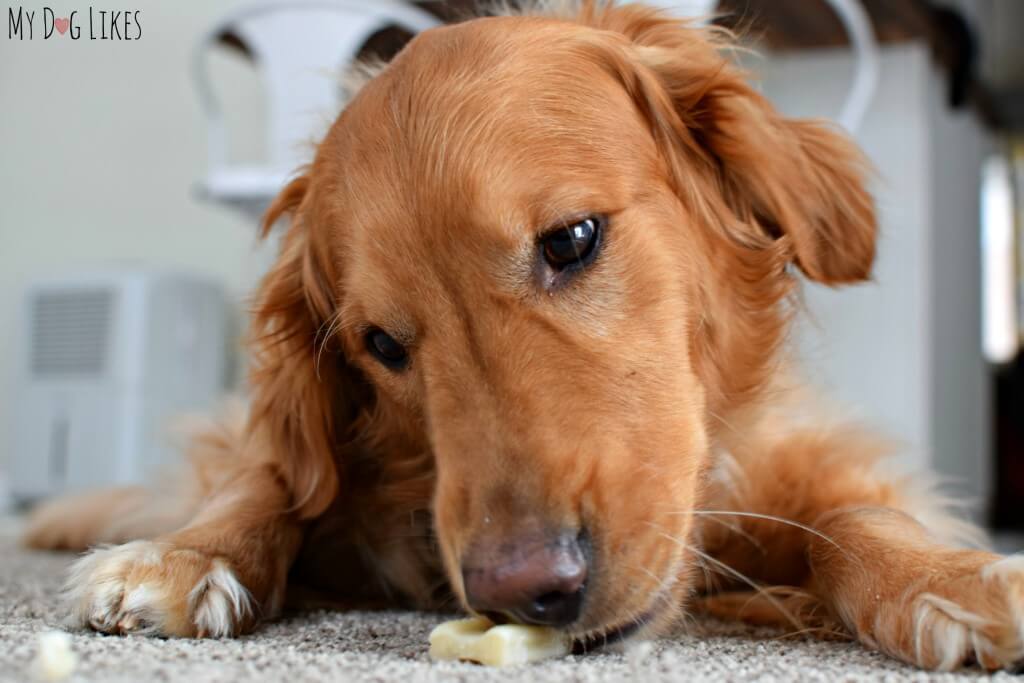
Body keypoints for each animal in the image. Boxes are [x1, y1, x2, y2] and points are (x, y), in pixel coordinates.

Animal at [24, 1, 1024, 671]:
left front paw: (957, 579)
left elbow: (857, 515)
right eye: (382, 344)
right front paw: (189, 554)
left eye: (571, 239)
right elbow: (271, 480)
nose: (522, 588)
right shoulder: (302, 455)